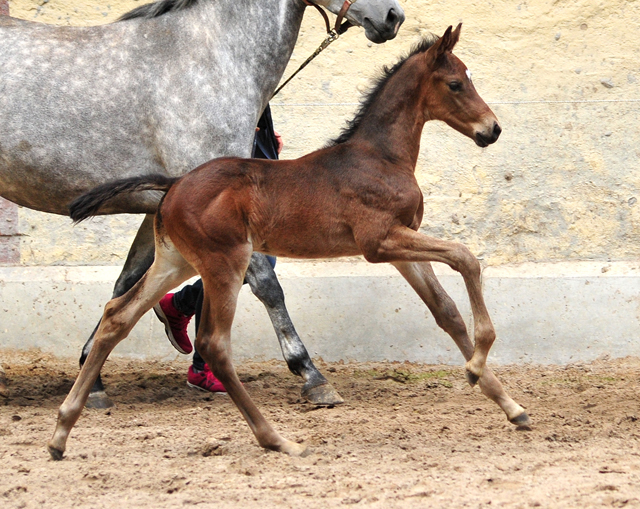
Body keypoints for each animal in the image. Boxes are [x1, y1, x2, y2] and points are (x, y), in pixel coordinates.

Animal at [0, 0, 404, 404]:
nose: (392, 17)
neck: (209, 58)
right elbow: (267, 285)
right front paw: (311, 375)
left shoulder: (161, 208)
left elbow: (126, 283)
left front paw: (92, 377)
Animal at [51, 25, 528, 458]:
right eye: (456, 83)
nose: (493, 129)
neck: (379, 157)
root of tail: (175, 183)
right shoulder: (380, 243)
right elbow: (466, 258)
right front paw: (475, 366)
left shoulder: (401, 245)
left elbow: (446, 311)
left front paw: (510, 405)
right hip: (226, 262)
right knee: (214, 344)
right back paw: (277, 439)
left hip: (175, 261)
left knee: (117, 316)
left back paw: (61, 432)